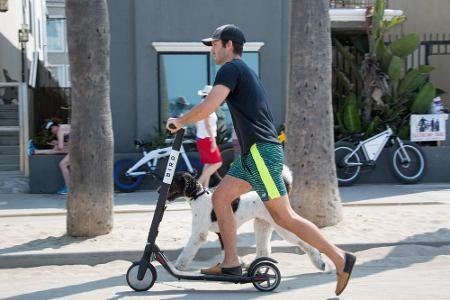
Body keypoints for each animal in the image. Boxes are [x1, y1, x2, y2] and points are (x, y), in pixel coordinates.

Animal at [167, 166, 326, 272]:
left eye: (174, 181)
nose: (161, 190)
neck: (198, 196)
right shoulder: (222, 232)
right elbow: (226, 250)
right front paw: (237, 264)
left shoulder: (199, 233)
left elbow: (188, 250)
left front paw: (179, 266)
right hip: (262, 225)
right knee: (263, 250)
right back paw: (257, 266)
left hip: (282, 227)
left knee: (305, 242)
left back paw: (319, 263)